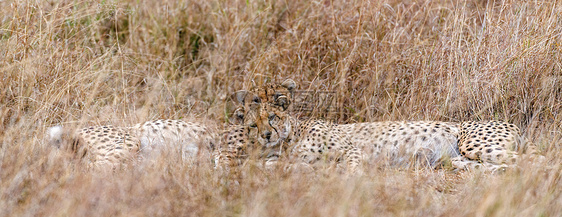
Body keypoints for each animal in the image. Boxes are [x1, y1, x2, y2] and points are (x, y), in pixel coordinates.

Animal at [231, 79, 532, 172]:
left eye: (272, 117)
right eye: (253, 125)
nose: (266, 135)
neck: (291, 136)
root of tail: (514, 124)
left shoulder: (352, 151)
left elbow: (350, 169)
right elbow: (274, 163)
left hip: (474, 144)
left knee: (536, 161)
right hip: (462, 159)